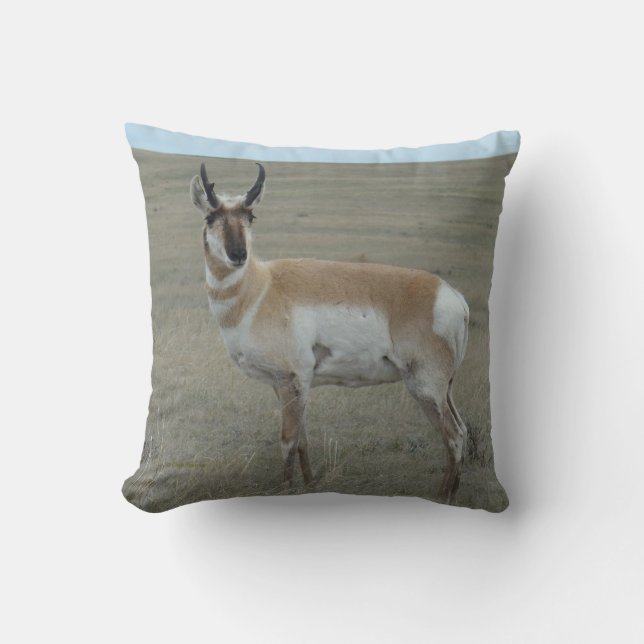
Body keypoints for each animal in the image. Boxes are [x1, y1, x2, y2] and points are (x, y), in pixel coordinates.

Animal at [191, 162, 470, 503]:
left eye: (250, 216)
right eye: (210, 217)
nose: (238, 254)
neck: (261, 288)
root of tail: (451, 295)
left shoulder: (292, 380)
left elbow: (287, 441)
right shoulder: (288, 386)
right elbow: (302, 440)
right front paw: (310, 487)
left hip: (426, 387)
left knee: (454, 437)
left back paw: (440, 498)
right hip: (445, 389)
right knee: (463, 432)